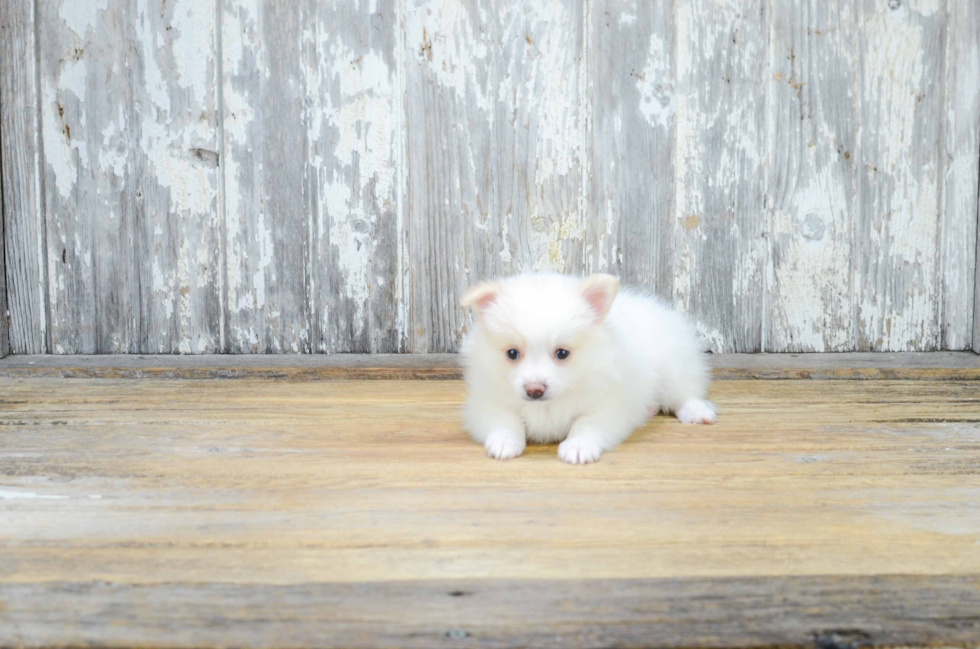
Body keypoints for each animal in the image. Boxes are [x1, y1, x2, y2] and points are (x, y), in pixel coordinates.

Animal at [460, 270, 712, 464]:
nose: (534, 390)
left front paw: (578, 447)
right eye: (512, 353)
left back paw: (696, 412)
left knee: (684, 394)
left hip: (674, 367)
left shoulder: (608, 406)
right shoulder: (487, 403)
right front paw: (504, 442)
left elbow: (585, 424)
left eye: (562, 353)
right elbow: (505, 420)